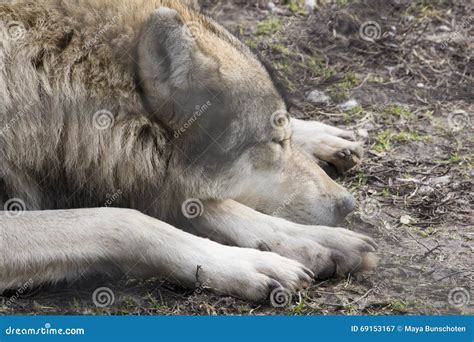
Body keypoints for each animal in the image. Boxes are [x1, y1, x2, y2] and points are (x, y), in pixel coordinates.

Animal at [0, 0, 378, 300]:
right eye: (273, 142)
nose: (348, 204)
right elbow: (125, 220)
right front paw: (247, 262)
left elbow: (201, 205)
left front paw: (313, 242)